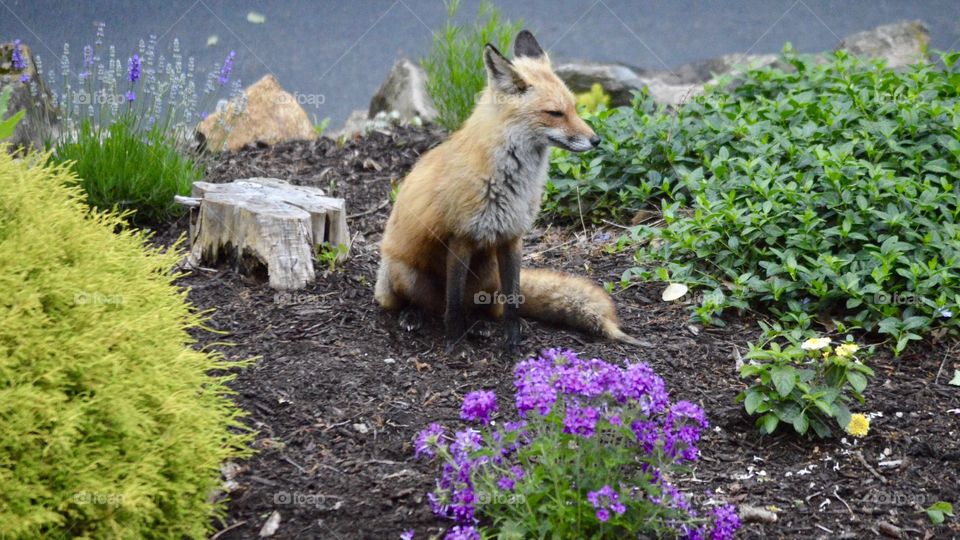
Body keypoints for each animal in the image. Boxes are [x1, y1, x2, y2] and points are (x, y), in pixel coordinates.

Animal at [376, 31, 636, 356]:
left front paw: (513, 342)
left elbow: (512, 300)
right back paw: (414, 316)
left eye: (574, 108)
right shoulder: (461, 237)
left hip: (488, 275)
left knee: (484, 306)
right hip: (404, 273)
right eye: (555, 113)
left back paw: (479, 324)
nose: (596, 140)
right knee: (426, 303)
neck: (511, 183)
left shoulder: (512, 237)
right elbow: (454, 303)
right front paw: (455, 342)